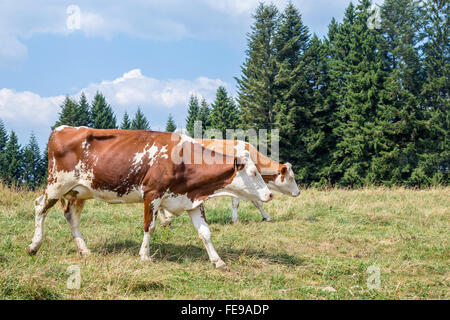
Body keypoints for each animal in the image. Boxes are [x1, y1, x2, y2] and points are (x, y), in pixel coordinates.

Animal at [29, 125, 274, 268]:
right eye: (253, 173)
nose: (269, 194)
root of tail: (62, 128)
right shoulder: (152, 193)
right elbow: (150, 226)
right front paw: (145, 255)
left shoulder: (192, 199)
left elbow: (205, 232)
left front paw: (218, 261)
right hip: (57, 183)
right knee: (40, 206)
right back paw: (34, 245)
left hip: (79, 192)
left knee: (72, 216)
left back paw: (85, 251)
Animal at [160, 138, 300, 225]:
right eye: (291, 178)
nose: (298, 192)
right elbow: (237, 204)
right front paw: (235, 220)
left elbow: (258, 203)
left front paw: (267, 217)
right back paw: (167, 218)